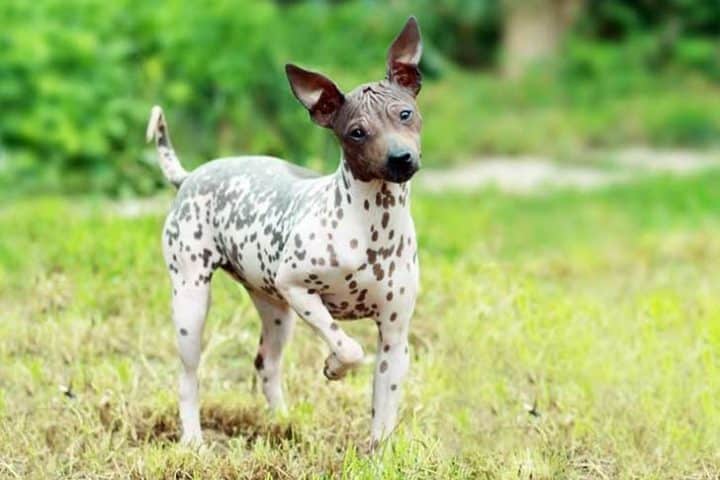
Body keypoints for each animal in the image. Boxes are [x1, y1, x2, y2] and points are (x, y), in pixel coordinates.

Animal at [147, 15, 424, 450]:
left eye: (406, 114)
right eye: (356, 132)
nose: (400, 158)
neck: (372, 228)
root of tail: (190, 176)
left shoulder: (395, 340)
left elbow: (383, 416)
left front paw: (378, 455)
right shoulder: (298, 288)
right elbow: (349, 347)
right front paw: (333, 366)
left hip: (275, 312)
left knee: (266, 364)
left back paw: (285, 422)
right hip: (192, 302)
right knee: (188, 377)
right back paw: (193, 440)